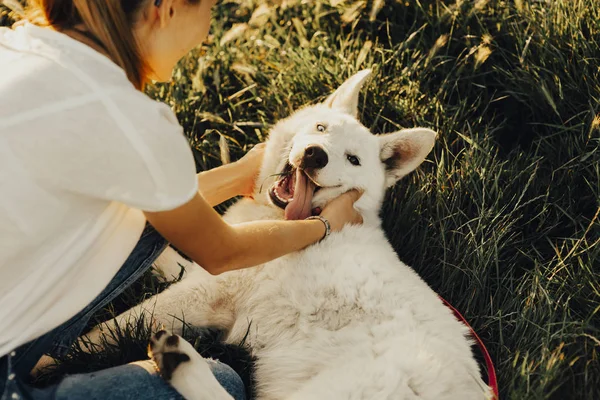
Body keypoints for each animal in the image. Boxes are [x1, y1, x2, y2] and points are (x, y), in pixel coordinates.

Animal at [89, 70, 492, 398]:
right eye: (320, 129)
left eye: (353, 160)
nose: (315, 155)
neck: (286, 217)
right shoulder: (207, 265)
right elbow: (171, 259)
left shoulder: (207, 291)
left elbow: (108, 330)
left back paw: (180, 361)